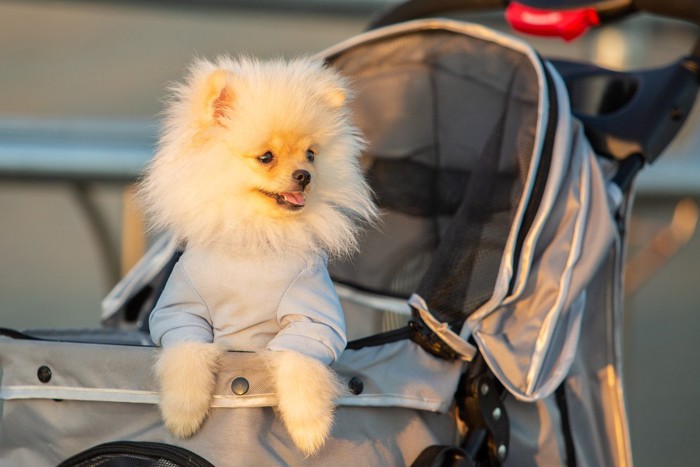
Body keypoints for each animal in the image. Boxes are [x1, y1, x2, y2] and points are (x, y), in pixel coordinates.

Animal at [138, 55, 378, 458]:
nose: (305, 175)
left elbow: (299, 364)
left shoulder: (312, 320)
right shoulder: (181, 312)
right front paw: (183, 413)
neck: (256, 236)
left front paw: (309, 427)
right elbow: (187, 354)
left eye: (311, 154)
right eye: (266, 157)